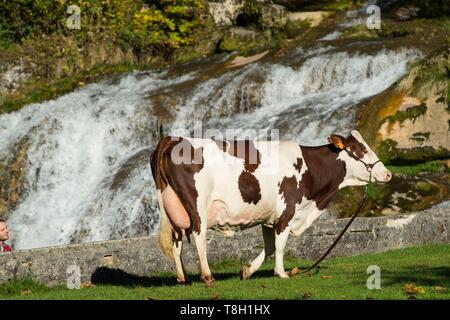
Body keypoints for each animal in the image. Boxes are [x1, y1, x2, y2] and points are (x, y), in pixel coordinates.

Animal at [150, 130, 390, 288]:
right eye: (362, 150)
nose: (388, 174)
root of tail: (172, 139)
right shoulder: (287, 210)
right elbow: (281, 244)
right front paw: (282, 273)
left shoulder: (269, 216)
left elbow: (270, 246)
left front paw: (247, 271)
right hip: (196, 204)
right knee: (199, 235)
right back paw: (207, 276)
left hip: (174, 207)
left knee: (176, 242)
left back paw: (182, 278)